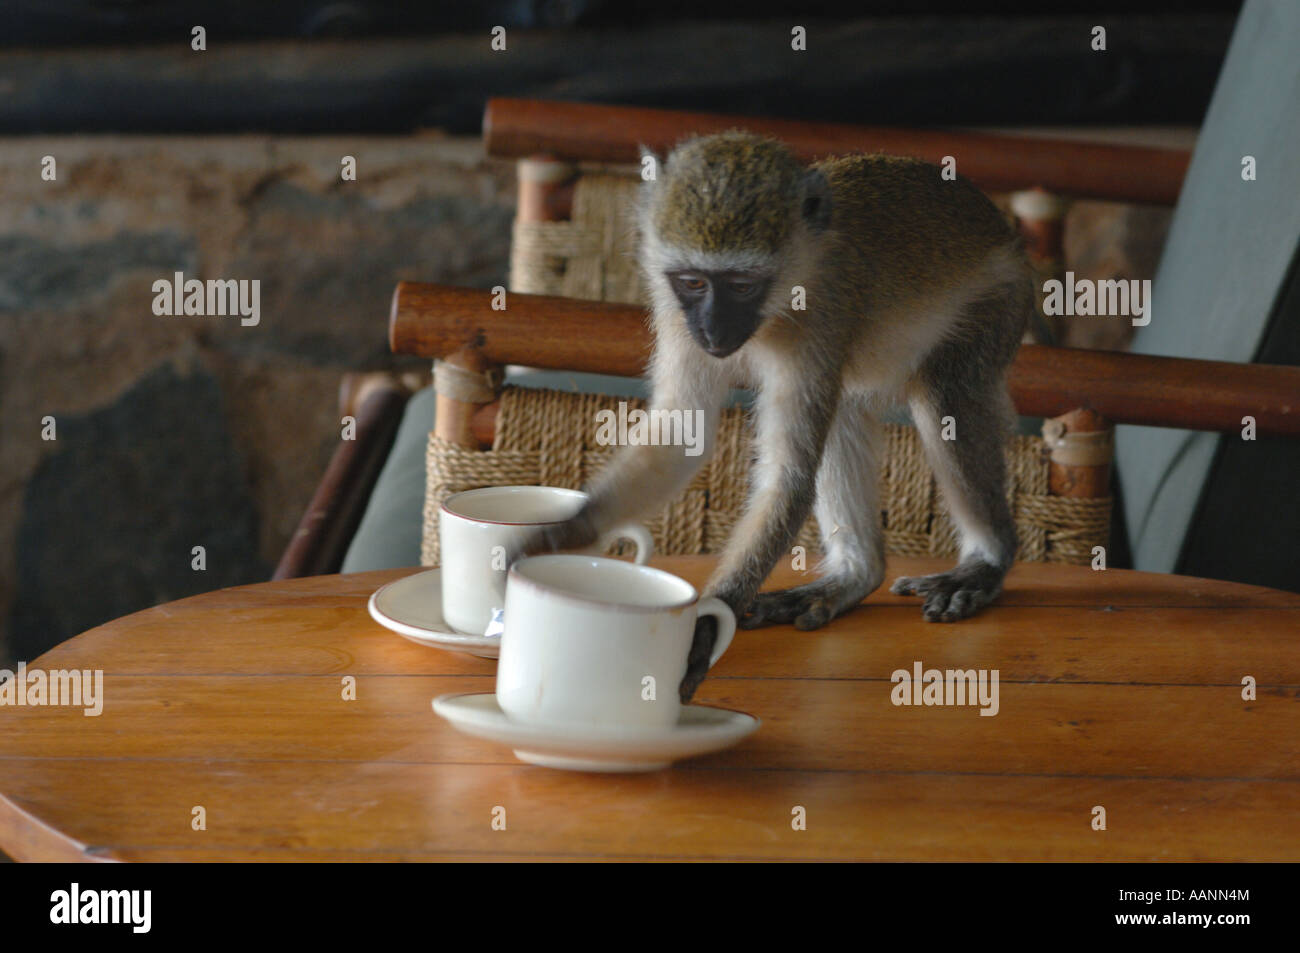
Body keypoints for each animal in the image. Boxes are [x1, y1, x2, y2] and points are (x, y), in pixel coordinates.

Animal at [512, 131, 1029, 696]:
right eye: (694, 282)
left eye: (741, 284)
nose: (713, 331)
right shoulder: (675, 313)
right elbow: (680, 436)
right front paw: (557, 538)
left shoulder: (821, 315)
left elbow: (787, 475)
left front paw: (704, 630)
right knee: (845, 410)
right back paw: (857, 575)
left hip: (998, 304)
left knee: (947, 396)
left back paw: (987, 560)